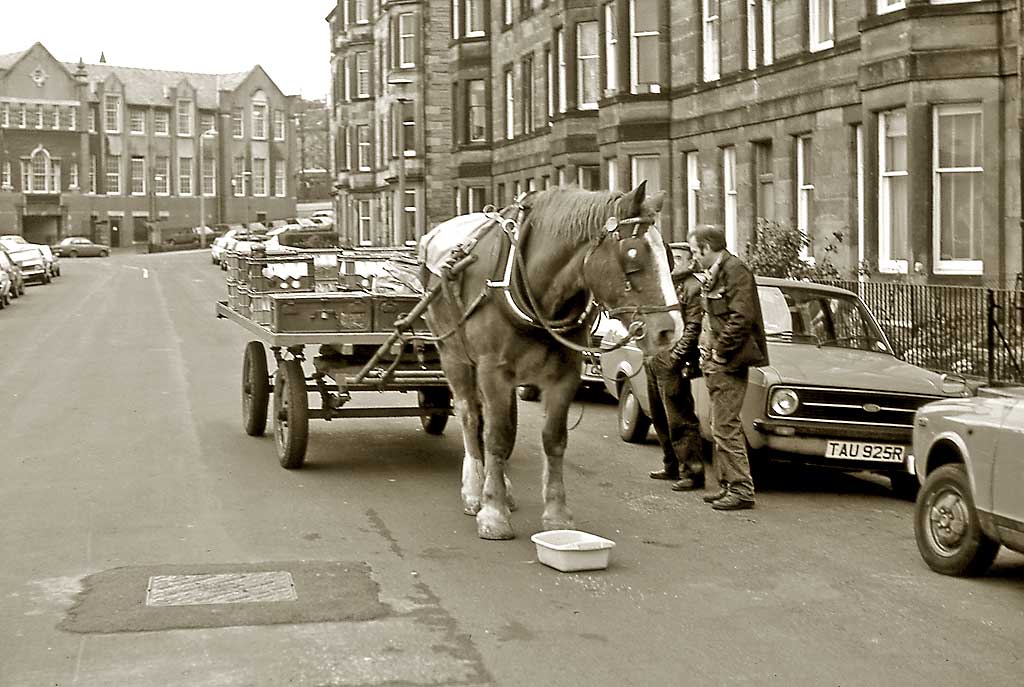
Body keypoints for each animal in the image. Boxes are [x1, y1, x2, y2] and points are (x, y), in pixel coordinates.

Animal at [419, 184, 684, 544]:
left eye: (669, 256)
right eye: (632, 256)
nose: (671, 329)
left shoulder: (564, 375)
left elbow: (553, 439)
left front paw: (556, 514)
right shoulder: (493, 371)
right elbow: (496, 437)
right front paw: (493, 513)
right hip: (453, 354)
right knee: (470, 417)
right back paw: (475, 489)